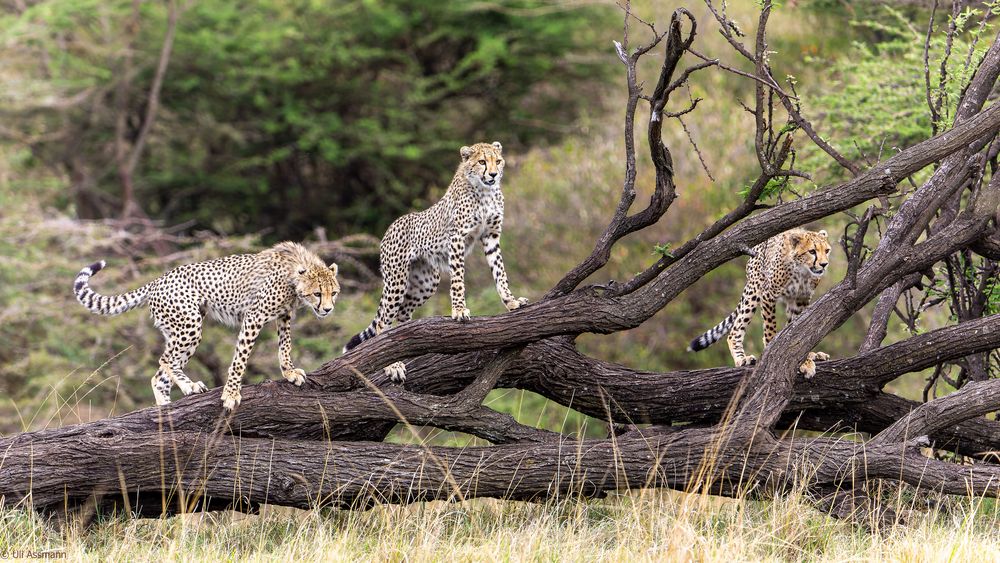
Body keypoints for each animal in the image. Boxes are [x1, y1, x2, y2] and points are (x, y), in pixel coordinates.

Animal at [73, 242, 340, 410]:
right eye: (317, 293)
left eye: (334, 293)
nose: (328, 309)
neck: (295, 275)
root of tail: (157, 280)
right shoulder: (253, 317)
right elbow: (240, 360)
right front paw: (231, 394)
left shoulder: (284, 316)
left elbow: (285, 347)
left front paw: (289, 372)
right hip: (190, 324)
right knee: (165, 360)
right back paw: (188, 385)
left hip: (182, 330)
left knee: (159, 375)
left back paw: (168, 406)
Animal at [344, 141, 528, 384]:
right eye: (482, 161)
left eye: (498, 161)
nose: (494, 174)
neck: (485, 191)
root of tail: (391, 226)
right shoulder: (457, 238)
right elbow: (458, 279)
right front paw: (459, 310)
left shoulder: (491, 236)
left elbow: (500, 273)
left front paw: (511, 302)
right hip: (397, 280)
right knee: (384, 322)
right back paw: (392, 364)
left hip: (426, 282)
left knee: (402, 314)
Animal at [688, 226, 836, 378]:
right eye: (812, 251)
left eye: (827, 251)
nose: (824, 264)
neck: (802, 270)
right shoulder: (768, 294)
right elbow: (770, 328)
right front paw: (773, 351)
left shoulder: (801, 300)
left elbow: (798, 331)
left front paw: (804, 359)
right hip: (753, 291)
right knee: (735, 331)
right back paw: (742, 359)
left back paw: (813, 354)